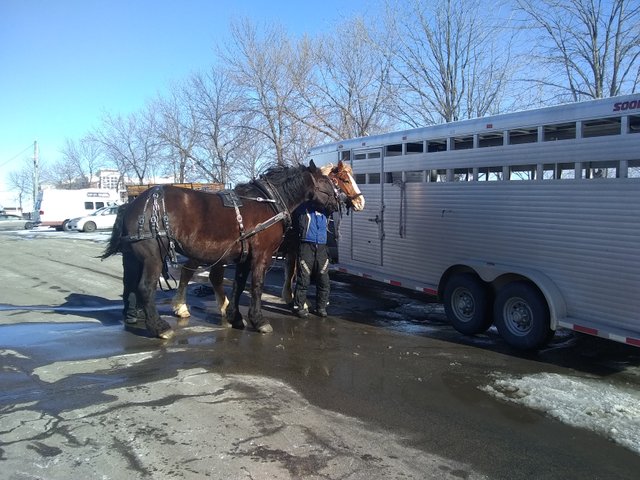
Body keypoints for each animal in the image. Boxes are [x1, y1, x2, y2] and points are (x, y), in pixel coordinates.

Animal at [100, 160, 342, 338]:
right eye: (327, 182)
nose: (338, 203)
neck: (269, 202)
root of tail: (133, 204)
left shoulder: (244, 257)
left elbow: (238, 285)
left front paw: (235, 317)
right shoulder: (261, 256)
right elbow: (256, 286)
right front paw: (258, 320)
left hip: (135, 258)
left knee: (131, 285)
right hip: (154, 258)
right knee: (145, 288)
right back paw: (160, 327)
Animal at [170, 160, 364, 322]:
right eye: (344, 180)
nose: (360, 202)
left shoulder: (292, 247)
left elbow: (290, 270)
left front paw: (290, 297)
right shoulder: (294, 246)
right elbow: (294, 271)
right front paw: (297, 301)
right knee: (194, 273)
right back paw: (189, 307)